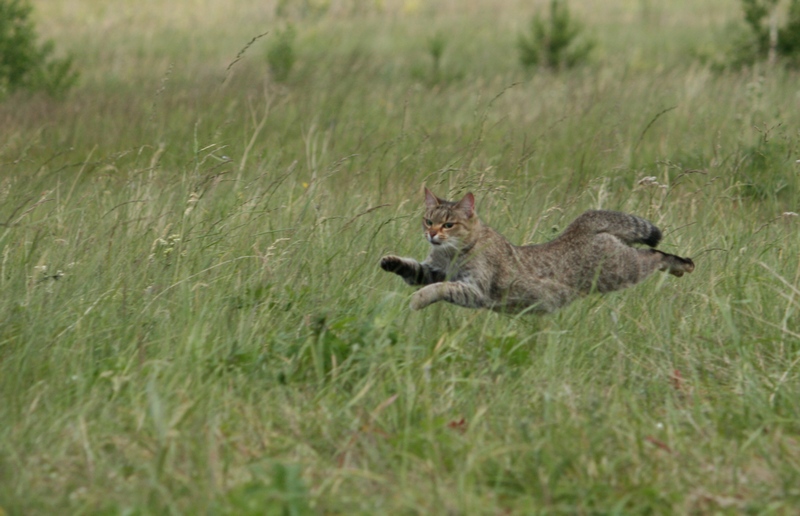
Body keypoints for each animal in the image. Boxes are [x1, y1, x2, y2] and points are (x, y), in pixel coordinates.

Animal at [380, 187, 692, 312]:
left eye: (448, 224)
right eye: (428, 220)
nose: (432, 234)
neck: (450, 254)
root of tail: (581, 226)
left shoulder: (475, 290)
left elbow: (439, 289)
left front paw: (418, 300)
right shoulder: (433, 270)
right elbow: (413, 268)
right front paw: (390, 261)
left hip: (622, 270)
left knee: (655, 255)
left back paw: (681, 264)